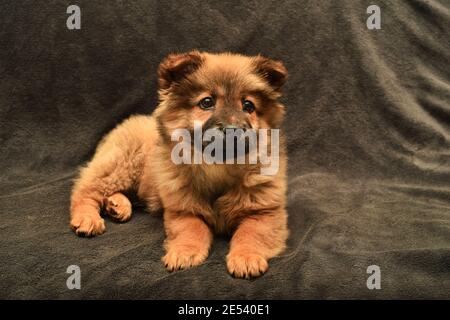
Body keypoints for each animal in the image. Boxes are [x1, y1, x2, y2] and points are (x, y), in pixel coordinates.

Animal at [69, 51, 288, 278]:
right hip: (121, 165)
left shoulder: (265, 212)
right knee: (85, 191)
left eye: (248, 106)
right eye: (207, 102)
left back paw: (117, 205)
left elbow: (251, 233)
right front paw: (185, 252)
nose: (233, 129)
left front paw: (246, 257)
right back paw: (88, 218)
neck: (218, 167)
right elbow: (192, 229)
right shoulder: (183, 210)